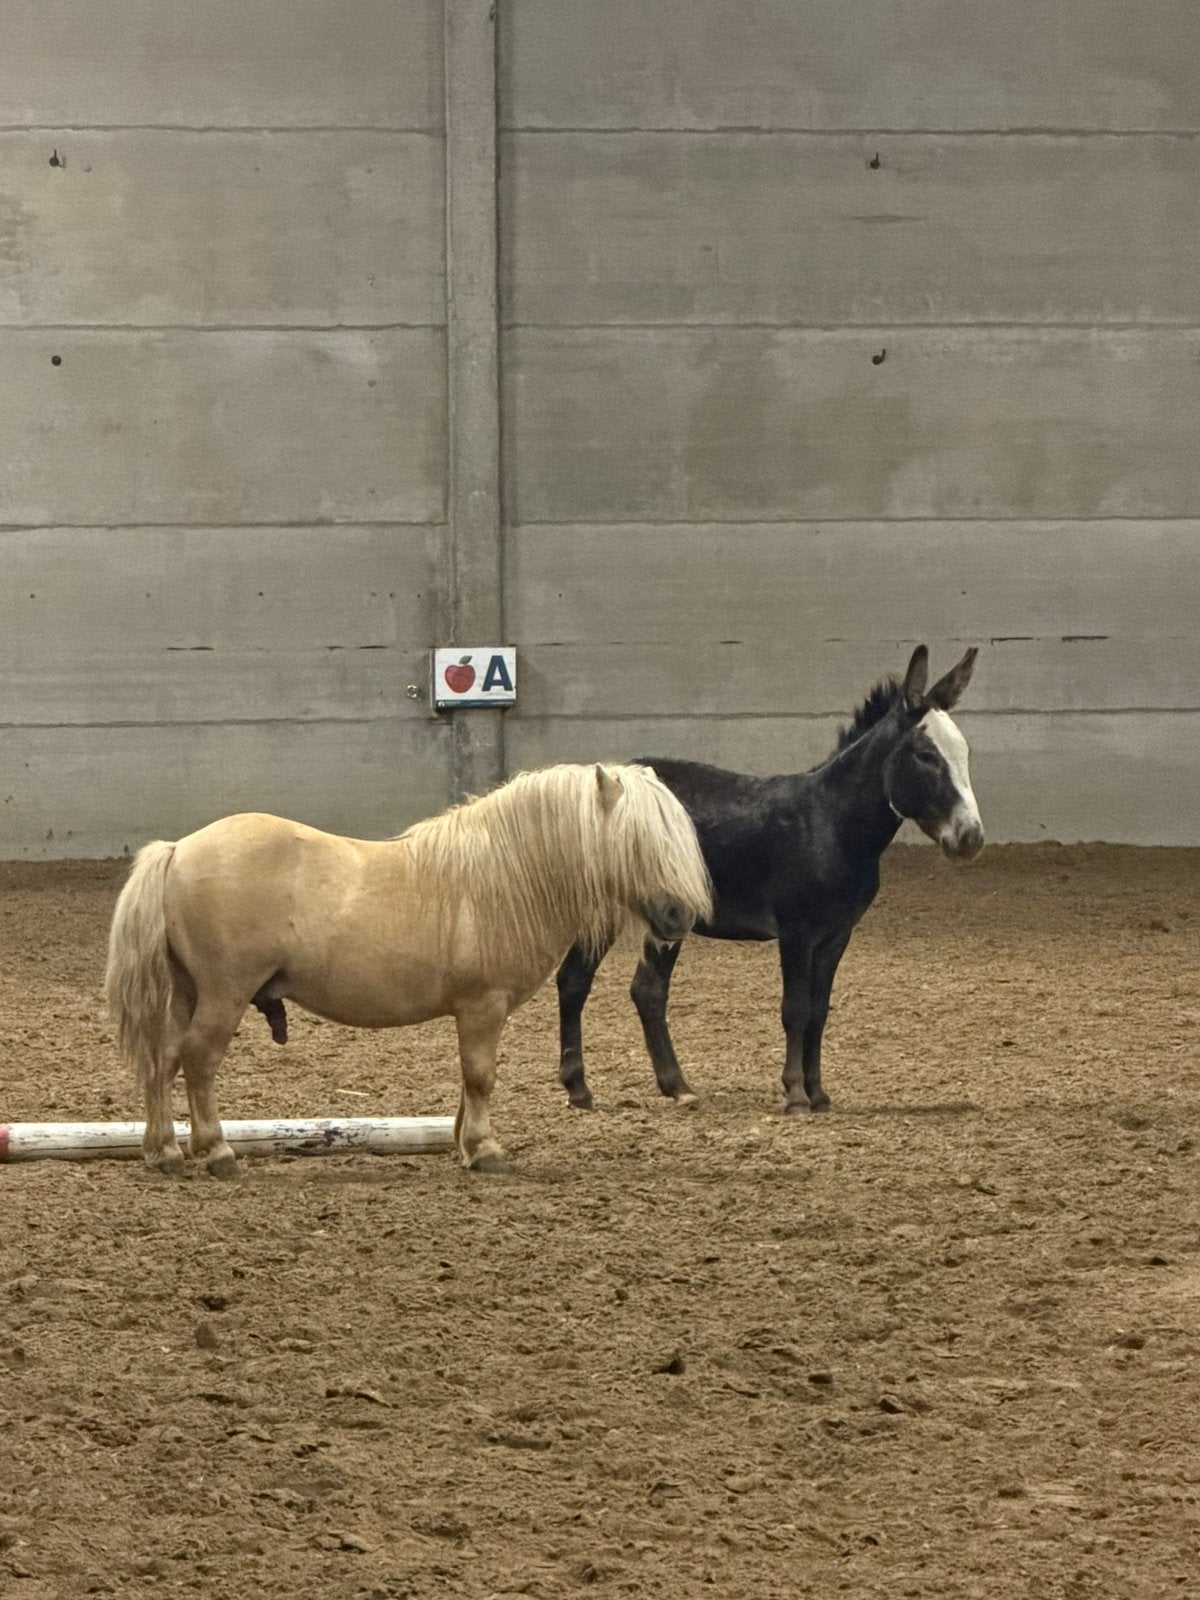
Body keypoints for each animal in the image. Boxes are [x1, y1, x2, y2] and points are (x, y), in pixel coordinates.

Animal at [104, 762, 712, 1177]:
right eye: (638, 841)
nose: (677, 917)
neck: (505, 876)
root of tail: (179, 848)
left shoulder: (475, 1013)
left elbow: (468, 1081)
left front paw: (464, 1143)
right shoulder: (483, 1006)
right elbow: (481, 1076)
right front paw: (485, 1150)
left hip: (190, 993)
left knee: (163, 1059)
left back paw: (163, 1150)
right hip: (224, 997)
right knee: (198, 1062)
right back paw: (216, 1151)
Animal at [555, 645, 984, 1116]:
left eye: (964, 752)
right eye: (925, 755)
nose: (971, 838)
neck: (830, 823)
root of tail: (605, 784)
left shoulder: (836, 935)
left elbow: (819, 1010)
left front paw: (819, 1094)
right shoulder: (797, 931)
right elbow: (795, 1009)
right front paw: (795, 1095)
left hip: (667, 914)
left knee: (648, 990)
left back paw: (677, 1086)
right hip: (606, 907)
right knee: (574, 980)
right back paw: (579, 1090)